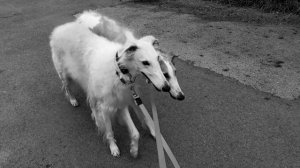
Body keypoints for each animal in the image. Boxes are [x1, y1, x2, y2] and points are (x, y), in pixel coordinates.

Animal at [50, 21, 170, 158]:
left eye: (157, 59)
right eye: (145, 62)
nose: (166, 87)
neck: (118, 70)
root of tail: (60, 28)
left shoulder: (121, 103)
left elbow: (135, 133)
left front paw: (133, 150)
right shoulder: (105, 107)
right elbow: (109, 132)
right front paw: (114, 148)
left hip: (89, 84)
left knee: (91, 102)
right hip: (65, 76)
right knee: (67, 89)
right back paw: (73, 100)